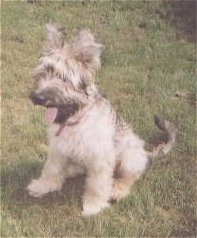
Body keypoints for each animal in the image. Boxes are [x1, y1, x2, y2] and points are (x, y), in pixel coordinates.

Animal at [26, 23, 176, 216]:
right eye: (43, 73)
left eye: (63, 78)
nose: (37, 97)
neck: (76, 120)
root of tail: (145, 152)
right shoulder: (58, 148)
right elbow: (52, 169)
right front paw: (43, 185)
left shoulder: (100, 158)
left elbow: (97, 185)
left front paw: (93, 206)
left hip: (129, 156)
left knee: (129, 177)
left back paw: (118, 189)